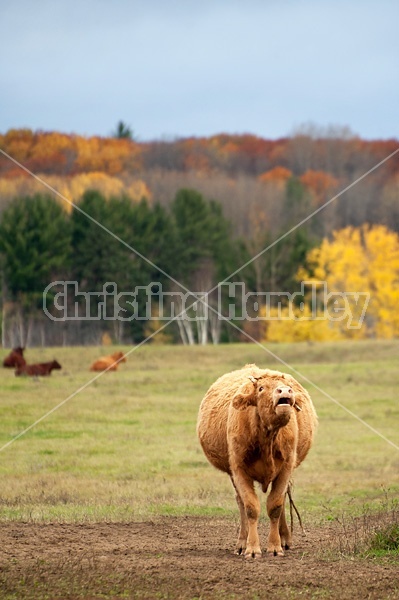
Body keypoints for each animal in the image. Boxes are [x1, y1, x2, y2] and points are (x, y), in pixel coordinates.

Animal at [197, 364, 318, 560]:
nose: (285, 390)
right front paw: (252, 548)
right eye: (261, 388)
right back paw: (241, 543)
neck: (267, 438)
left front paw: (276, 546)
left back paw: (285, 539)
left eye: (286, 385)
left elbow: (275, 506)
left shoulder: (286, 469)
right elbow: (250, 508)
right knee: (240, 503)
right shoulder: (238, 470)